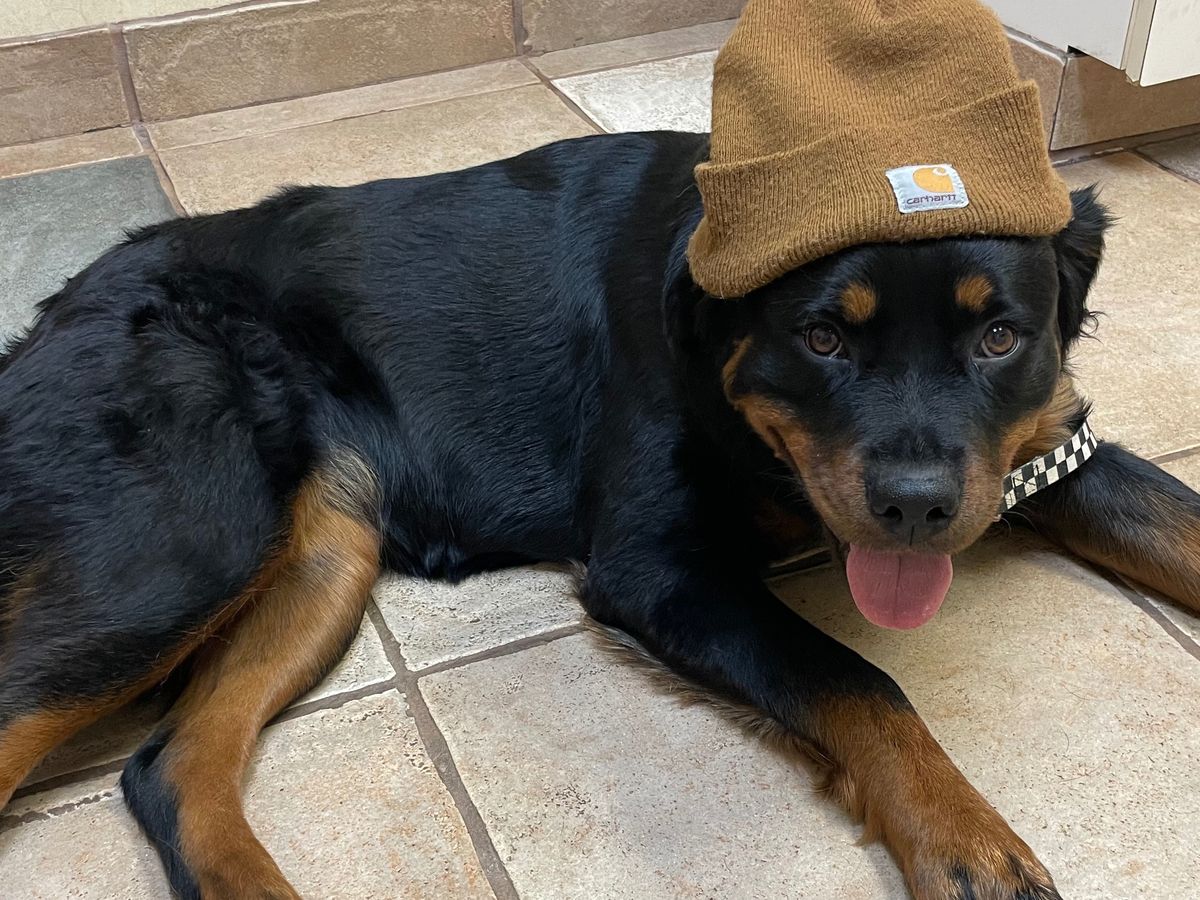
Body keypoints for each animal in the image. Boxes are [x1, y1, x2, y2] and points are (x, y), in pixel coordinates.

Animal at [1, 130, 1198, 900]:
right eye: (821, 339)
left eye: (1000, 337)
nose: (917, 507)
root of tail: (55, 311)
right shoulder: (658, 564)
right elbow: (861, 678)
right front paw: (964, 840)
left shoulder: (1039, 449)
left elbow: (1174, 518)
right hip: (181, 544)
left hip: (317, 556)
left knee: (172, 768)